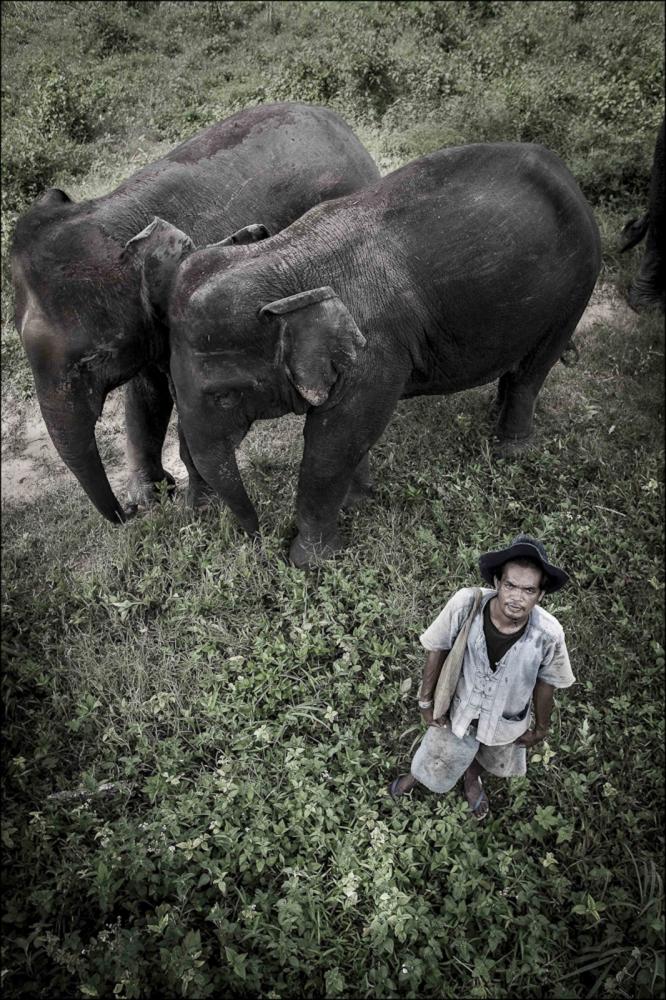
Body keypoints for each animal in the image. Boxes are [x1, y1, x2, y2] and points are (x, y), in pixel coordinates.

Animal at [10, 102, 380, 523]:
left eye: (93, 359)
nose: (125, 515)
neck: (115, 215)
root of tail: (339, 123)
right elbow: (146, 395)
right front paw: (151, 497)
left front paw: (198, 511)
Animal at [130, 141, 601, 567]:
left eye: (225, 396)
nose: (258, 538)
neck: (284, 258)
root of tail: (564, 170)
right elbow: (349, 434)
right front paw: (358, 502)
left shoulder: (374, 350)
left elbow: (334, 439)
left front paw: (311, 561)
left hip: (577, 283)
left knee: (534, 368)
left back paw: (510, 451)